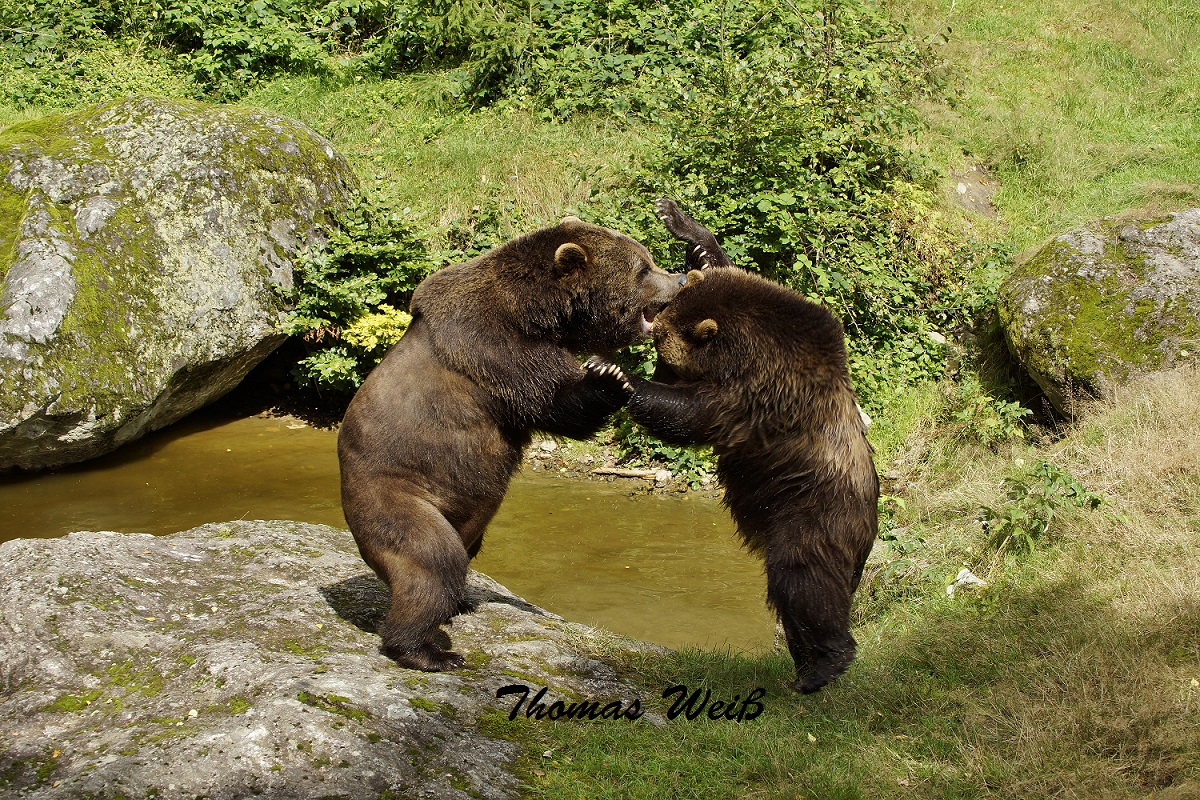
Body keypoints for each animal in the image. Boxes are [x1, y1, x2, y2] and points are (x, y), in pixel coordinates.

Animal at [338, 215, 681, 671]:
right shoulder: (496, 348)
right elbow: (558, 403)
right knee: (431, 560)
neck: (539, 314)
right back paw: (428, 650)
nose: (680, 278)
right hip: (395, 493)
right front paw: (610, 375)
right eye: (643, 268)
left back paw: (460, 604)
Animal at [592, 200, 883, 695]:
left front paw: (614, 373)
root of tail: (870, 526)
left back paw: (823, 666)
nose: (654, 368)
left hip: (812, 510)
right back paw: (804, 664)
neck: (743, 346)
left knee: (804, 582)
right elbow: (722, 265)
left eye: (665, 358)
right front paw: (680, 221)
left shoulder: (760, 394)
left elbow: (693, 415)